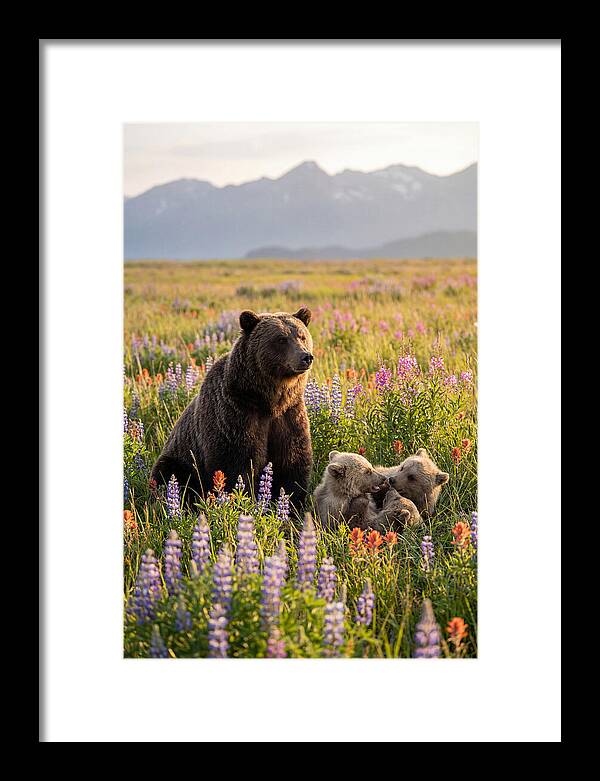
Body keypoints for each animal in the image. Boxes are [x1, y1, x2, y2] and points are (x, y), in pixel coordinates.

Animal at [150, 307, 314, 505]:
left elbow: (292, 461)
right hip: (180, 458)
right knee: (169, 474)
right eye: (281, 339)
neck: (268, 400)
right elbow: (236, 464)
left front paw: (292, 503)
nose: (306, 357)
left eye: (302, 336)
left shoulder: (289, 415)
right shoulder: (235, 414)